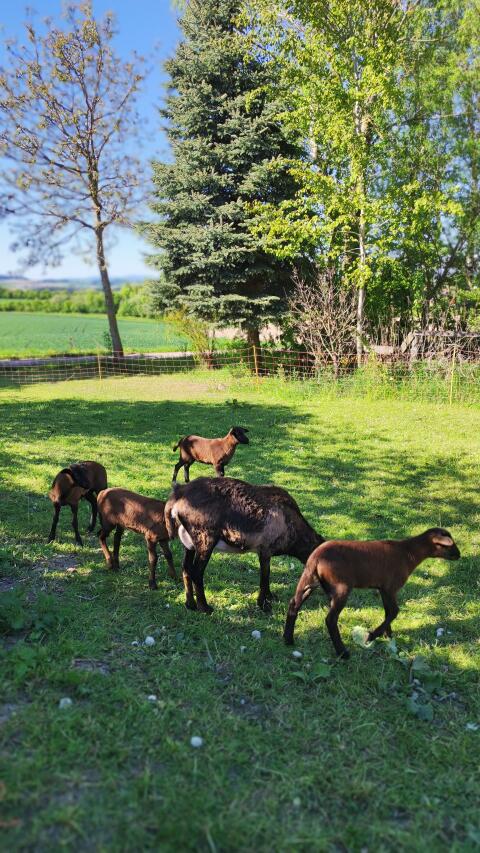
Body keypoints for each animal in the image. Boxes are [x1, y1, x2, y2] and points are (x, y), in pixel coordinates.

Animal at [165, 476, 324, 614]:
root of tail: (178, 494)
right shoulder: (265, 550)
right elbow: (265, 576)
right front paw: (263, 604)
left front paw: (270, 597)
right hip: (205, 540)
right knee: (196, 572)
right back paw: (205, 607)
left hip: (189, 544)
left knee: (186, 569)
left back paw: (190, 604)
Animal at [283, 528, 461, 657]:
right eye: (449, 545)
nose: (459, 555)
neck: (409, 553)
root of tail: (316, 557)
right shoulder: (390, 587)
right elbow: (394, 611)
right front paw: (372, 635)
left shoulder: (383, 588)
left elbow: (388, 611)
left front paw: (388, 635)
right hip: (341, 587)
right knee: (330, 619)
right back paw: (343, 653)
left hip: (309, 580)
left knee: (293, 604)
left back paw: (288, 639)